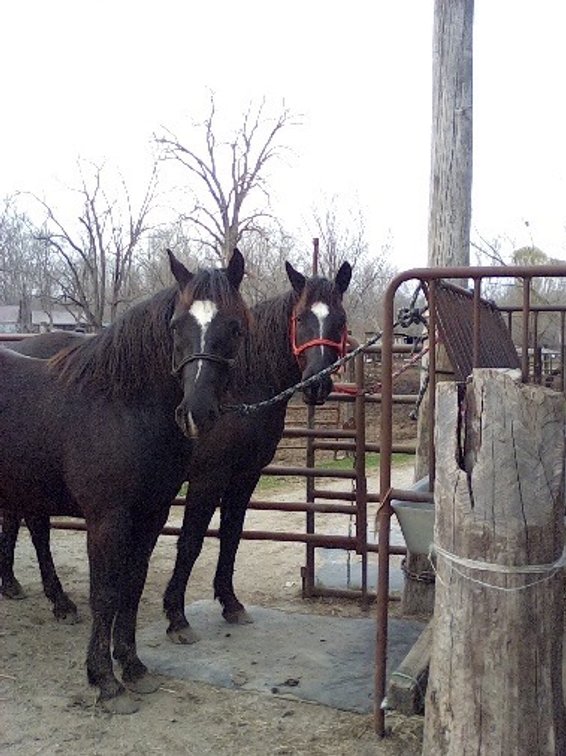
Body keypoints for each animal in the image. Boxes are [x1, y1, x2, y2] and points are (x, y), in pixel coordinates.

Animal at [0, 248, 249, 713]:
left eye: (235, 325)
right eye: (176, 325)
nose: (196, 413)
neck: (122, 407)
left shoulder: (151, 515)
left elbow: (131, 585)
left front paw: (132, 667)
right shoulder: (107, 519)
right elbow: (105, 593)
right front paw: (105, 681)